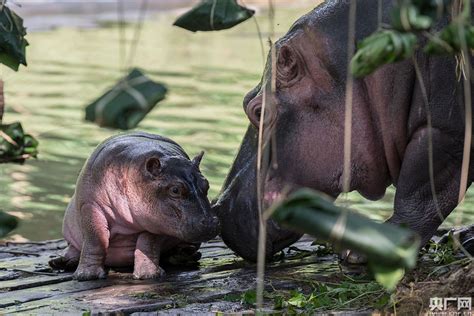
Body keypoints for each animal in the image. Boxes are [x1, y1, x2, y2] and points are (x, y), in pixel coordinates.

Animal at [49, 132, 219, 280]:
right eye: (175, 190)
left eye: (206, 184)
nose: (210, 222)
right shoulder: (89, 205)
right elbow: (95, 240)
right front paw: (87, 276)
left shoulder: (155, 222)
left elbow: (148, 244)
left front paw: (148, 275)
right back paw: (61, 261)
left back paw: (184, 254)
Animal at [213, 0, 472, 262]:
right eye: (246, 98)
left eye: (258, 112)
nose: (218, 206)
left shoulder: (445, 134)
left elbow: (419, 191)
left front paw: (369, 249)